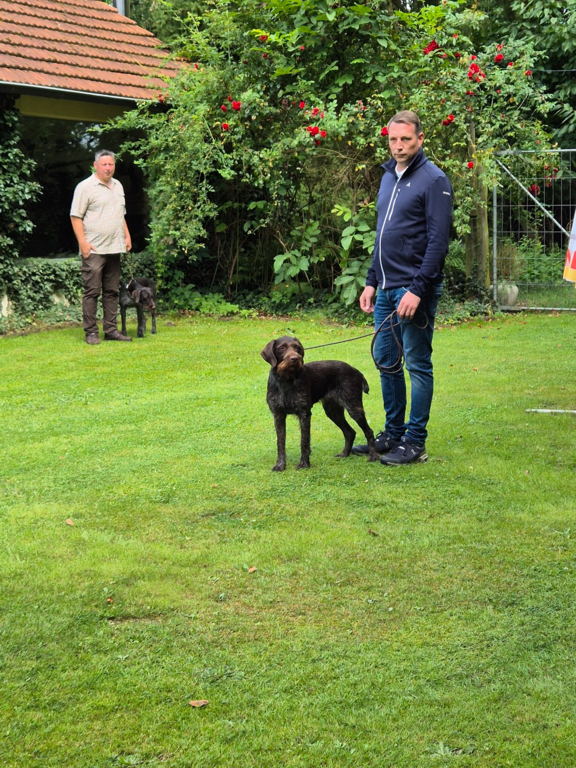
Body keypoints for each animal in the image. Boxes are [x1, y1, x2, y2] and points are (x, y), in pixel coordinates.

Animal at [261, 336, 379, 471]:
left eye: (297, 347)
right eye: (282, 348)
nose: (295, 358)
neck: (286, 381)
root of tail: (355, 370)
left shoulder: (304, 414)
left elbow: (304, 441)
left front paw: (304, 463)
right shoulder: (278, 415)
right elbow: (280, 443)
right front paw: (280, 465)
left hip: (353, 407)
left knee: (368, 431)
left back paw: (373, 456)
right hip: (332, 411)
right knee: (350, 432)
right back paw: (344, 454)